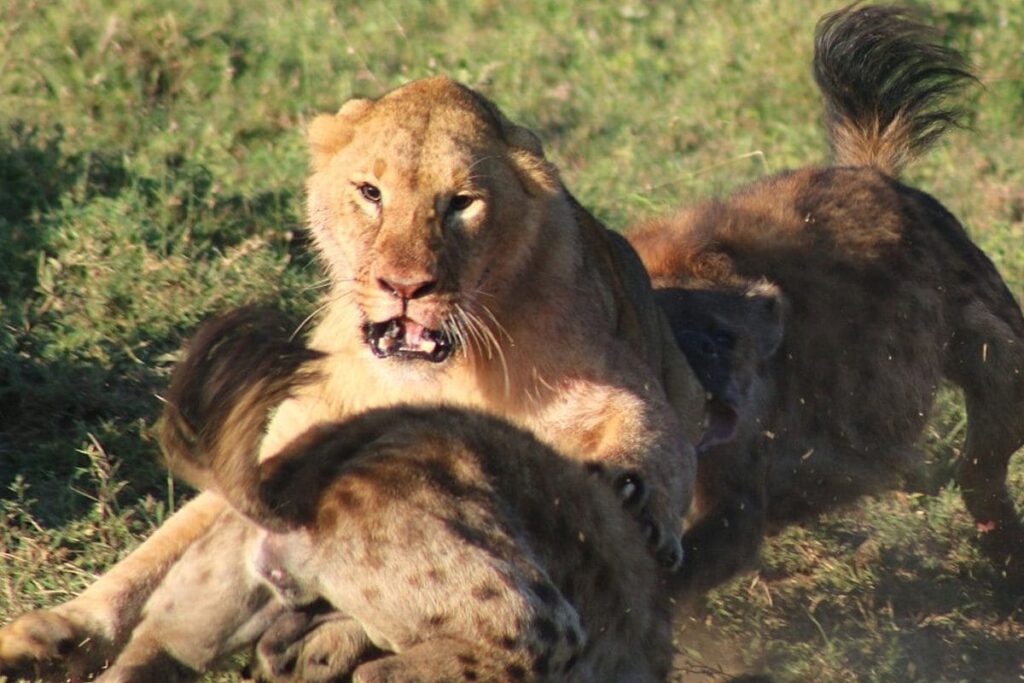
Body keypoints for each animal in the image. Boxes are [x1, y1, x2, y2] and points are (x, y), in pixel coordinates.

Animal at [0, 75, 704, 680]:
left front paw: (638, 505)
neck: (434, 375)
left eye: (462, 203)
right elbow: (159, 552)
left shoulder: (623, 386)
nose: (405, 286)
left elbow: (646, 435)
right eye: (370, 192)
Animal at [628, 4, 1024, 594]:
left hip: (988, 332)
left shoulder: (741, 485)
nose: (704, 381)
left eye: (724, 336)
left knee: (986, 450)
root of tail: (876, 170)